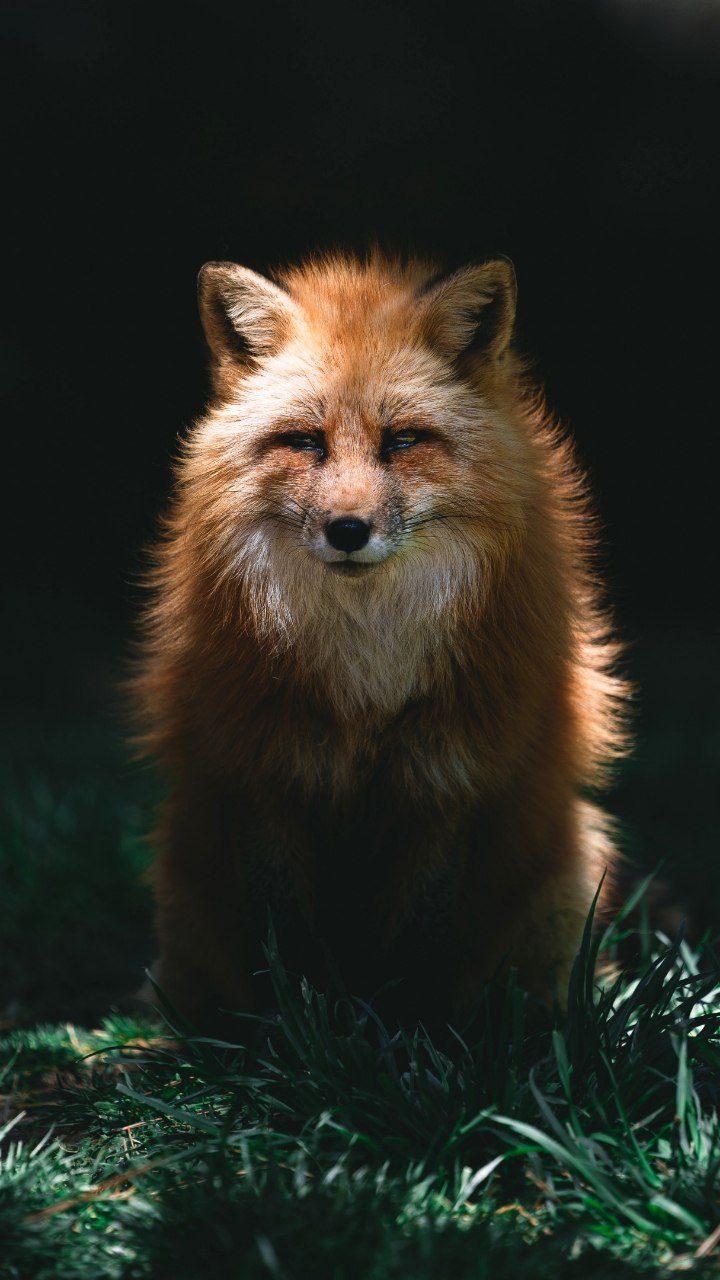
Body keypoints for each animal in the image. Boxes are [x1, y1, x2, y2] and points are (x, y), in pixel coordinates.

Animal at [133, 250, 626, 1031]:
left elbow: (422, 943)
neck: (367, 673)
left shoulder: (450, 777)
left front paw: (414, 1042)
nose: (347, 531)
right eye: (306, 441)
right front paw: (292, 1037)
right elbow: (285, 941)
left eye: (403, 441)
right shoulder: (263, 770)